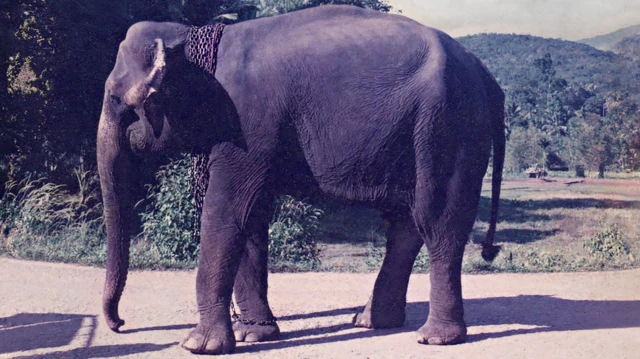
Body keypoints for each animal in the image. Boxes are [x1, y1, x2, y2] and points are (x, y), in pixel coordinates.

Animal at [96, 4, 504, 356]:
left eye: (115, 98)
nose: (120, 324)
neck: (194, 36)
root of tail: (484, 74)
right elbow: (251, 217)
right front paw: (254, 334)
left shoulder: (247, 123)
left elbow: (225, 211)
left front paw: (199, 345)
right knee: (405, 224)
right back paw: (371, 322)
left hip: (448, 126)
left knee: (438, 221)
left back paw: (434, 338)